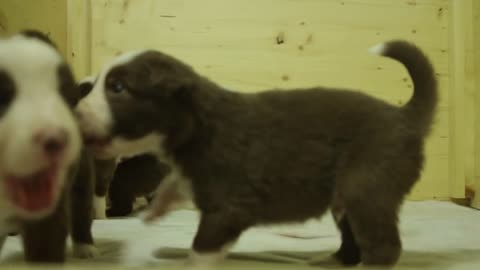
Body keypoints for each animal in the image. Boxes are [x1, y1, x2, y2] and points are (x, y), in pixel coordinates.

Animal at [0, 30, 98, 262]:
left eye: (69, 100)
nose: (56, 138)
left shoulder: (48, 217)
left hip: (82, 177)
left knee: (81, 210)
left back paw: (85, 246)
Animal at [75, 41, 438, 266]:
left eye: (118, 88)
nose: (75, 113)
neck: (199, 123)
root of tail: (403, 116)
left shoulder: (228, 208)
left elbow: (201, 250)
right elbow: (174, 186)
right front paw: (155, 210)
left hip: (367, 186)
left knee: (383, 247)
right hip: (345, 198)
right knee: (354, 239)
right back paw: (331, 260)